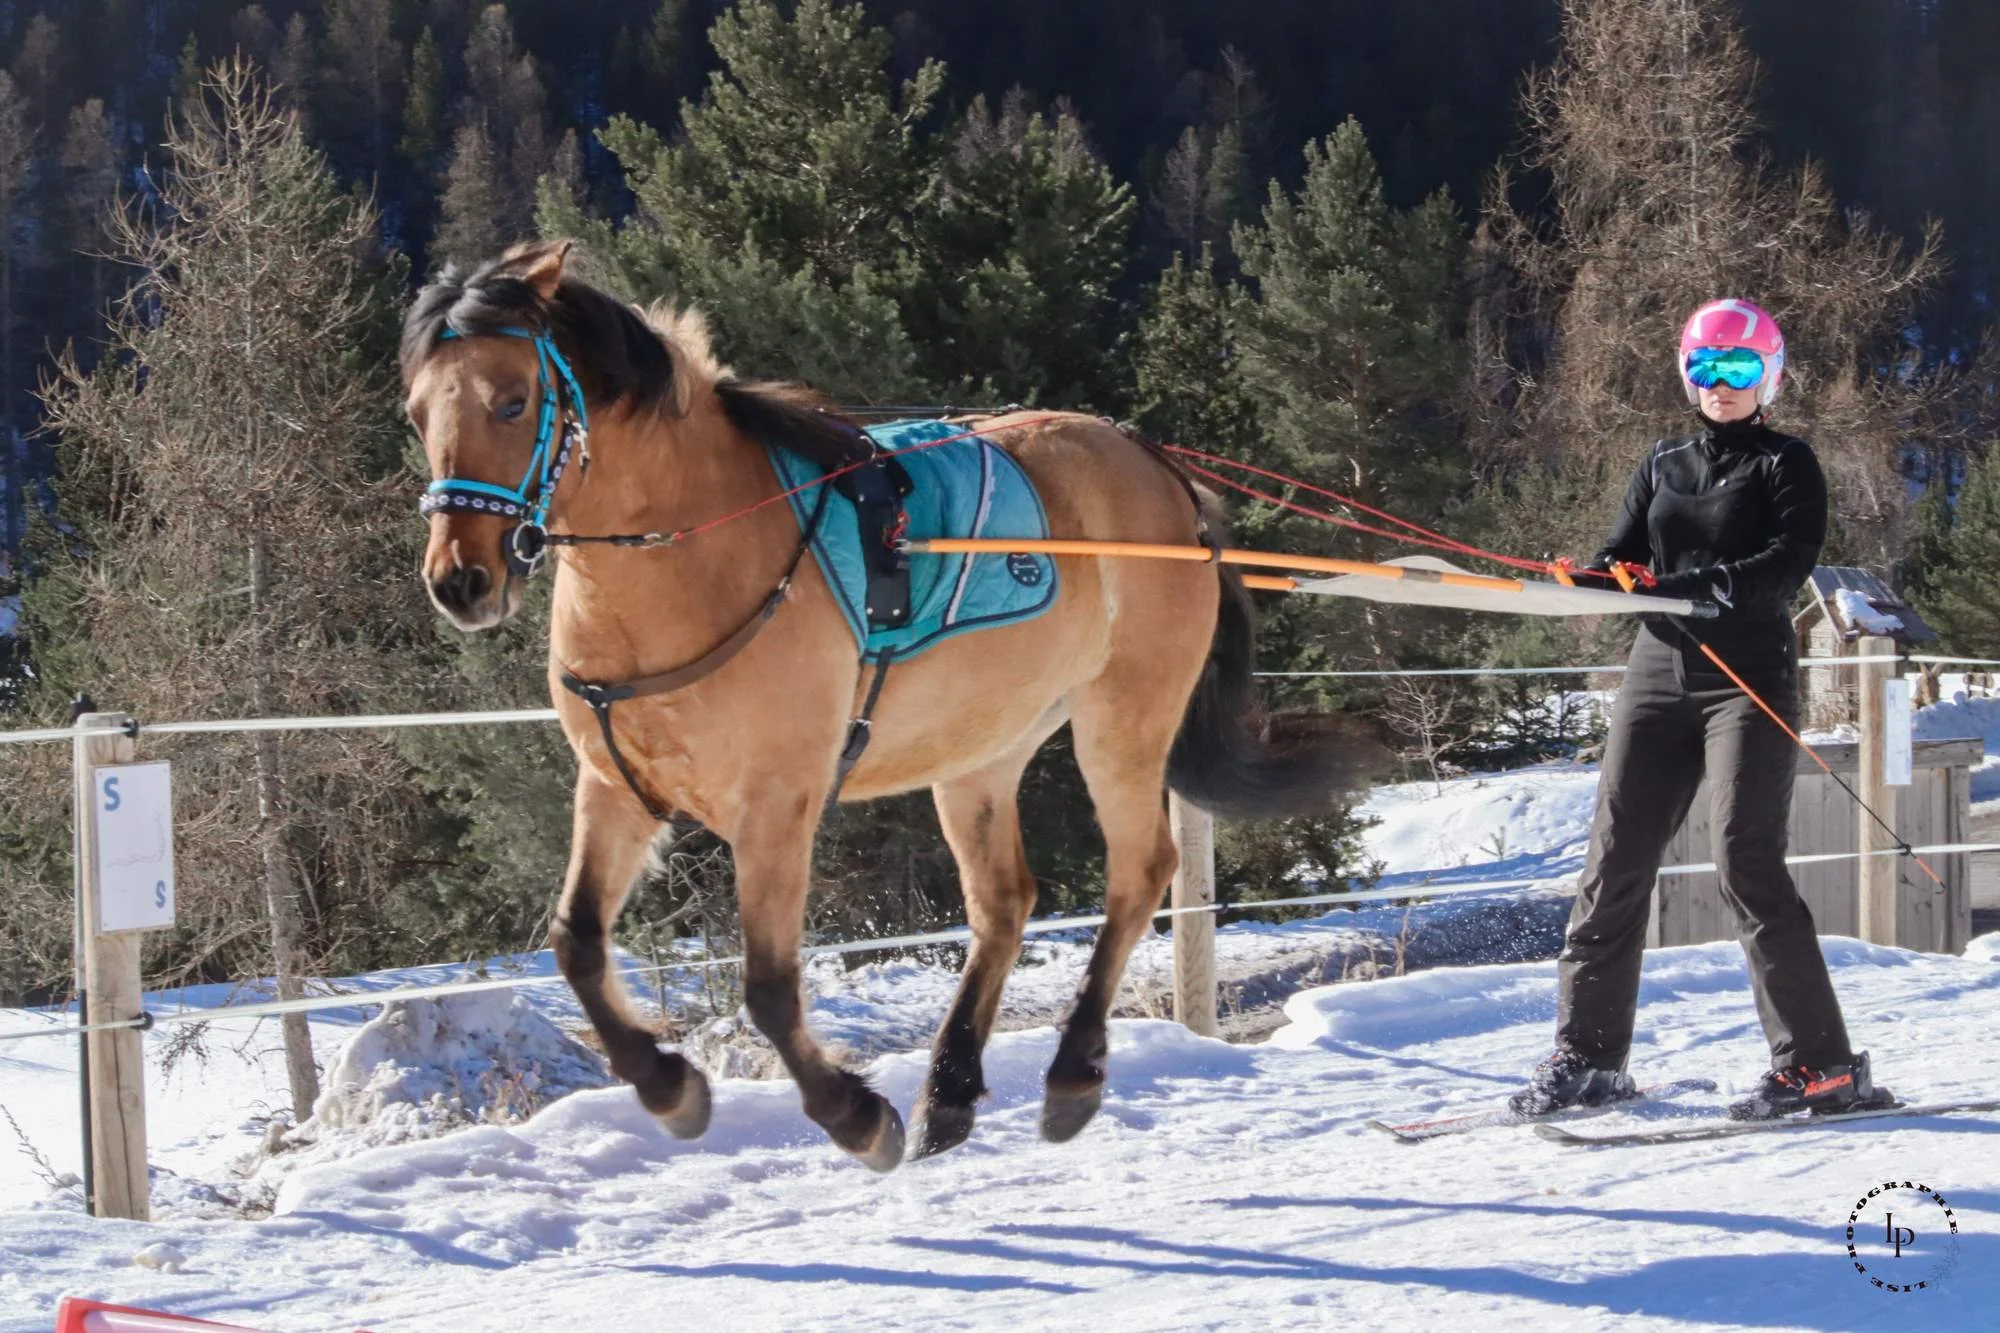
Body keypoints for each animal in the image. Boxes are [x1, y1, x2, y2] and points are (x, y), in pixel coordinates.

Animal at [401, 240, 1366, 1171]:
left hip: (1123, 719)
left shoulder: (777, 803)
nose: (460, 579)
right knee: (1003, 902)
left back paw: (1070, 1072)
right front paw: (669, 1086)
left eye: (513, 401)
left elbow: (769, 984)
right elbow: (576, 940)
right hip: (981, 750)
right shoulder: (615, 789)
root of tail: (1162, 474)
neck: (698, 549)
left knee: (1138, 871)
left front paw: (854, 1114)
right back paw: (950, 1089)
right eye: (416, 412)